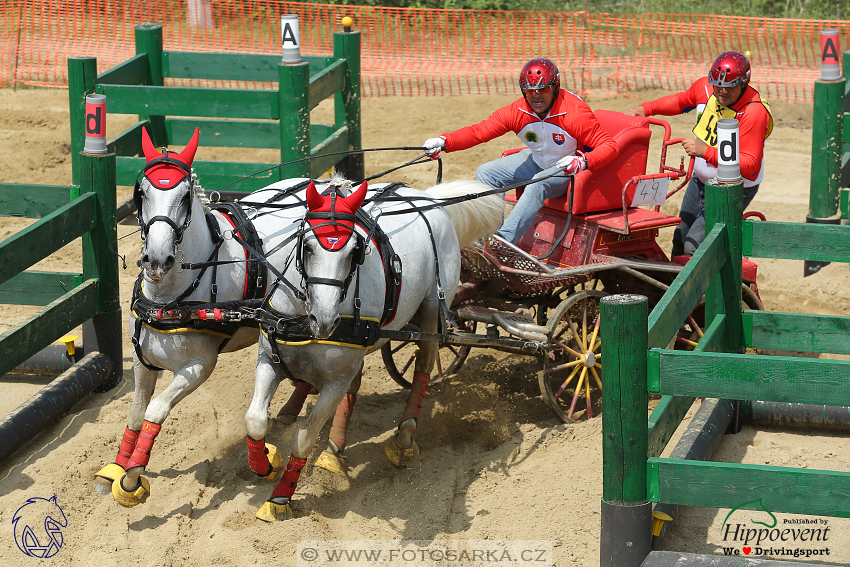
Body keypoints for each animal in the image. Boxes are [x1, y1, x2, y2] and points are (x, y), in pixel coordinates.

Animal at [242, 180, 500, 520]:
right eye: (307, 246)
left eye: (354, 252)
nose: (325, 319)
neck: (302, 320)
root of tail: (428, 198)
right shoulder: (268, 360)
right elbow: (256, 420)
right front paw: (264, 465)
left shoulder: (334, 382)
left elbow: (305, 439)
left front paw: (279, 498)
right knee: (357, 377)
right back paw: (333, 446)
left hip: (432, 307)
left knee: (425, 361)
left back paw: (403, 437)